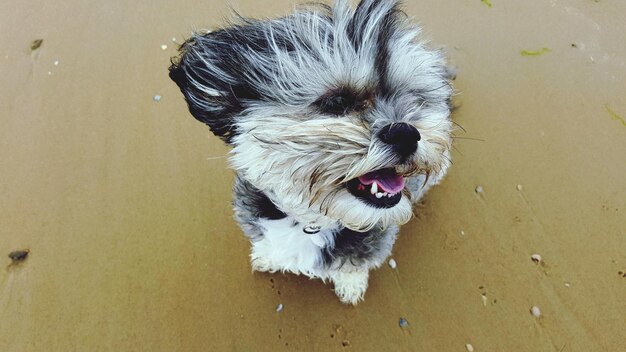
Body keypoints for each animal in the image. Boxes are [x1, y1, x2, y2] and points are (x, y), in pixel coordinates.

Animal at [169, 0, 454, 304]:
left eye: (413, 100)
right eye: (337, 101)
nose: (406, 134)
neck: (311, 222)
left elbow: (353, 265)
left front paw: (351, 283)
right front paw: (267, 255)